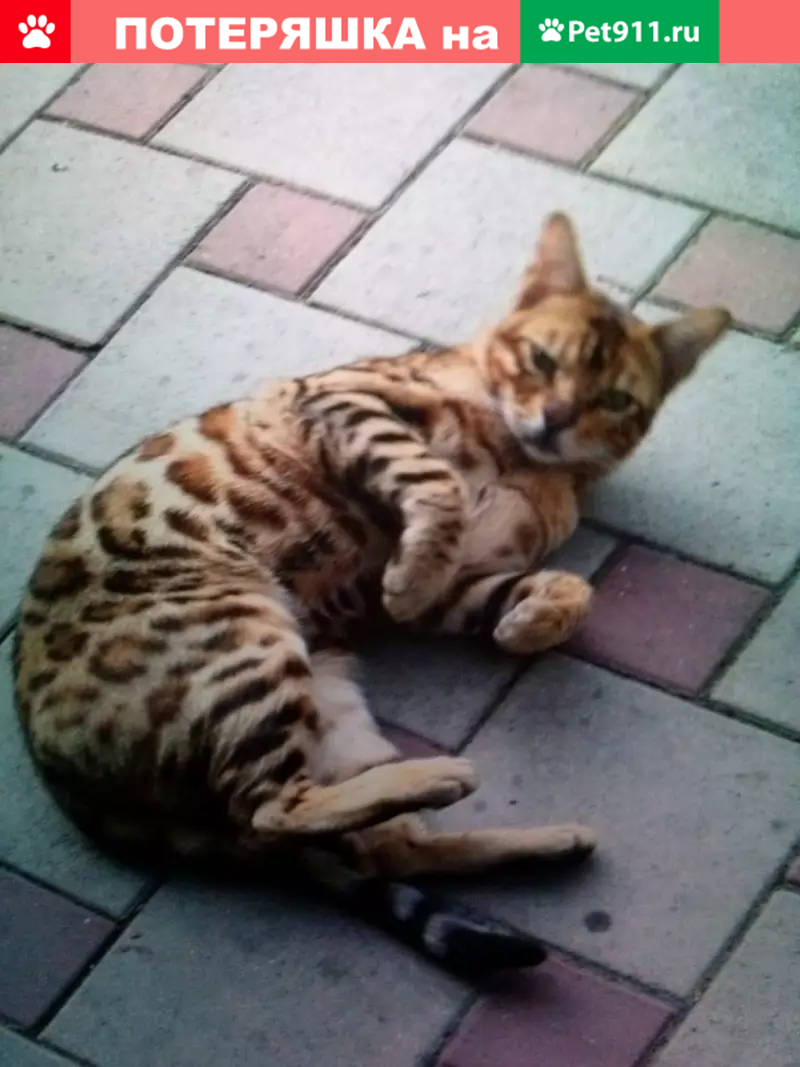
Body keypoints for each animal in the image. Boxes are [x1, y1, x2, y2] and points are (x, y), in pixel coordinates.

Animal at [14, 213, 730, 974]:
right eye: (540, 360)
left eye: (615, 400)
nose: (557, 418)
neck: (522, 457)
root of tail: (47, 761)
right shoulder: (344, 399)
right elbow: (435, 484)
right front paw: (419, 574)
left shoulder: (465, 579)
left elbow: (561, 586)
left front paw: (530, 619)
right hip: (246, 639)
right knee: (271, 813)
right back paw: (437, 779)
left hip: (325, 694)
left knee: (379, 847)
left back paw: (545, 841)